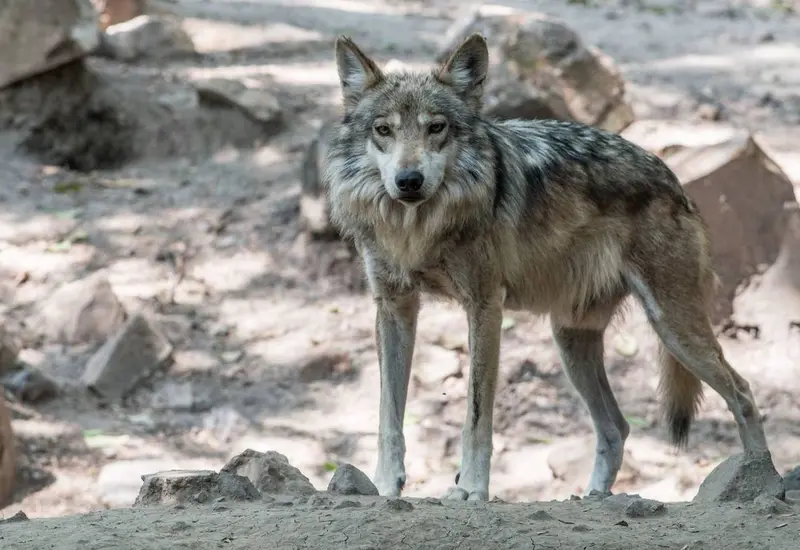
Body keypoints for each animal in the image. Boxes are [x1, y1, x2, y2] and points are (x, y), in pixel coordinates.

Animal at [322, 33, 776, 501]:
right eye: (383, 130)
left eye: (437, 127)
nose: (408, 181)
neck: (417, 230)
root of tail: (674, 179)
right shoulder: (394, 308)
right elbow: (388, 413)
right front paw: (384, 485)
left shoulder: (485, 306)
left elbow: (476, 416)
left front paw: (472, 489)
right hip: (571, 339)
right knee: (616, 427)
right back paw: (594, 498)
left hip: (674, 329)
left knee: (743, 393)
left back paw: (762, 480)